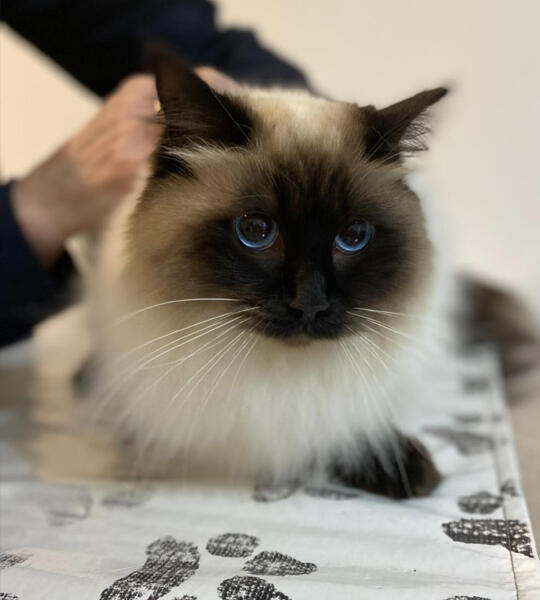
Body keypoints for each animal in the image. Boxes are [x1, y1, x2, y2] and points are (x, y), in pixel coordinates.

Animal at [85, 45, 452, 496]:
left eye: (353, 236)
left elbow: (343, 435)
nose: (309, 303)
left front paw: (405, 468)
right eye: (256, 231)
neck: (277, 376)